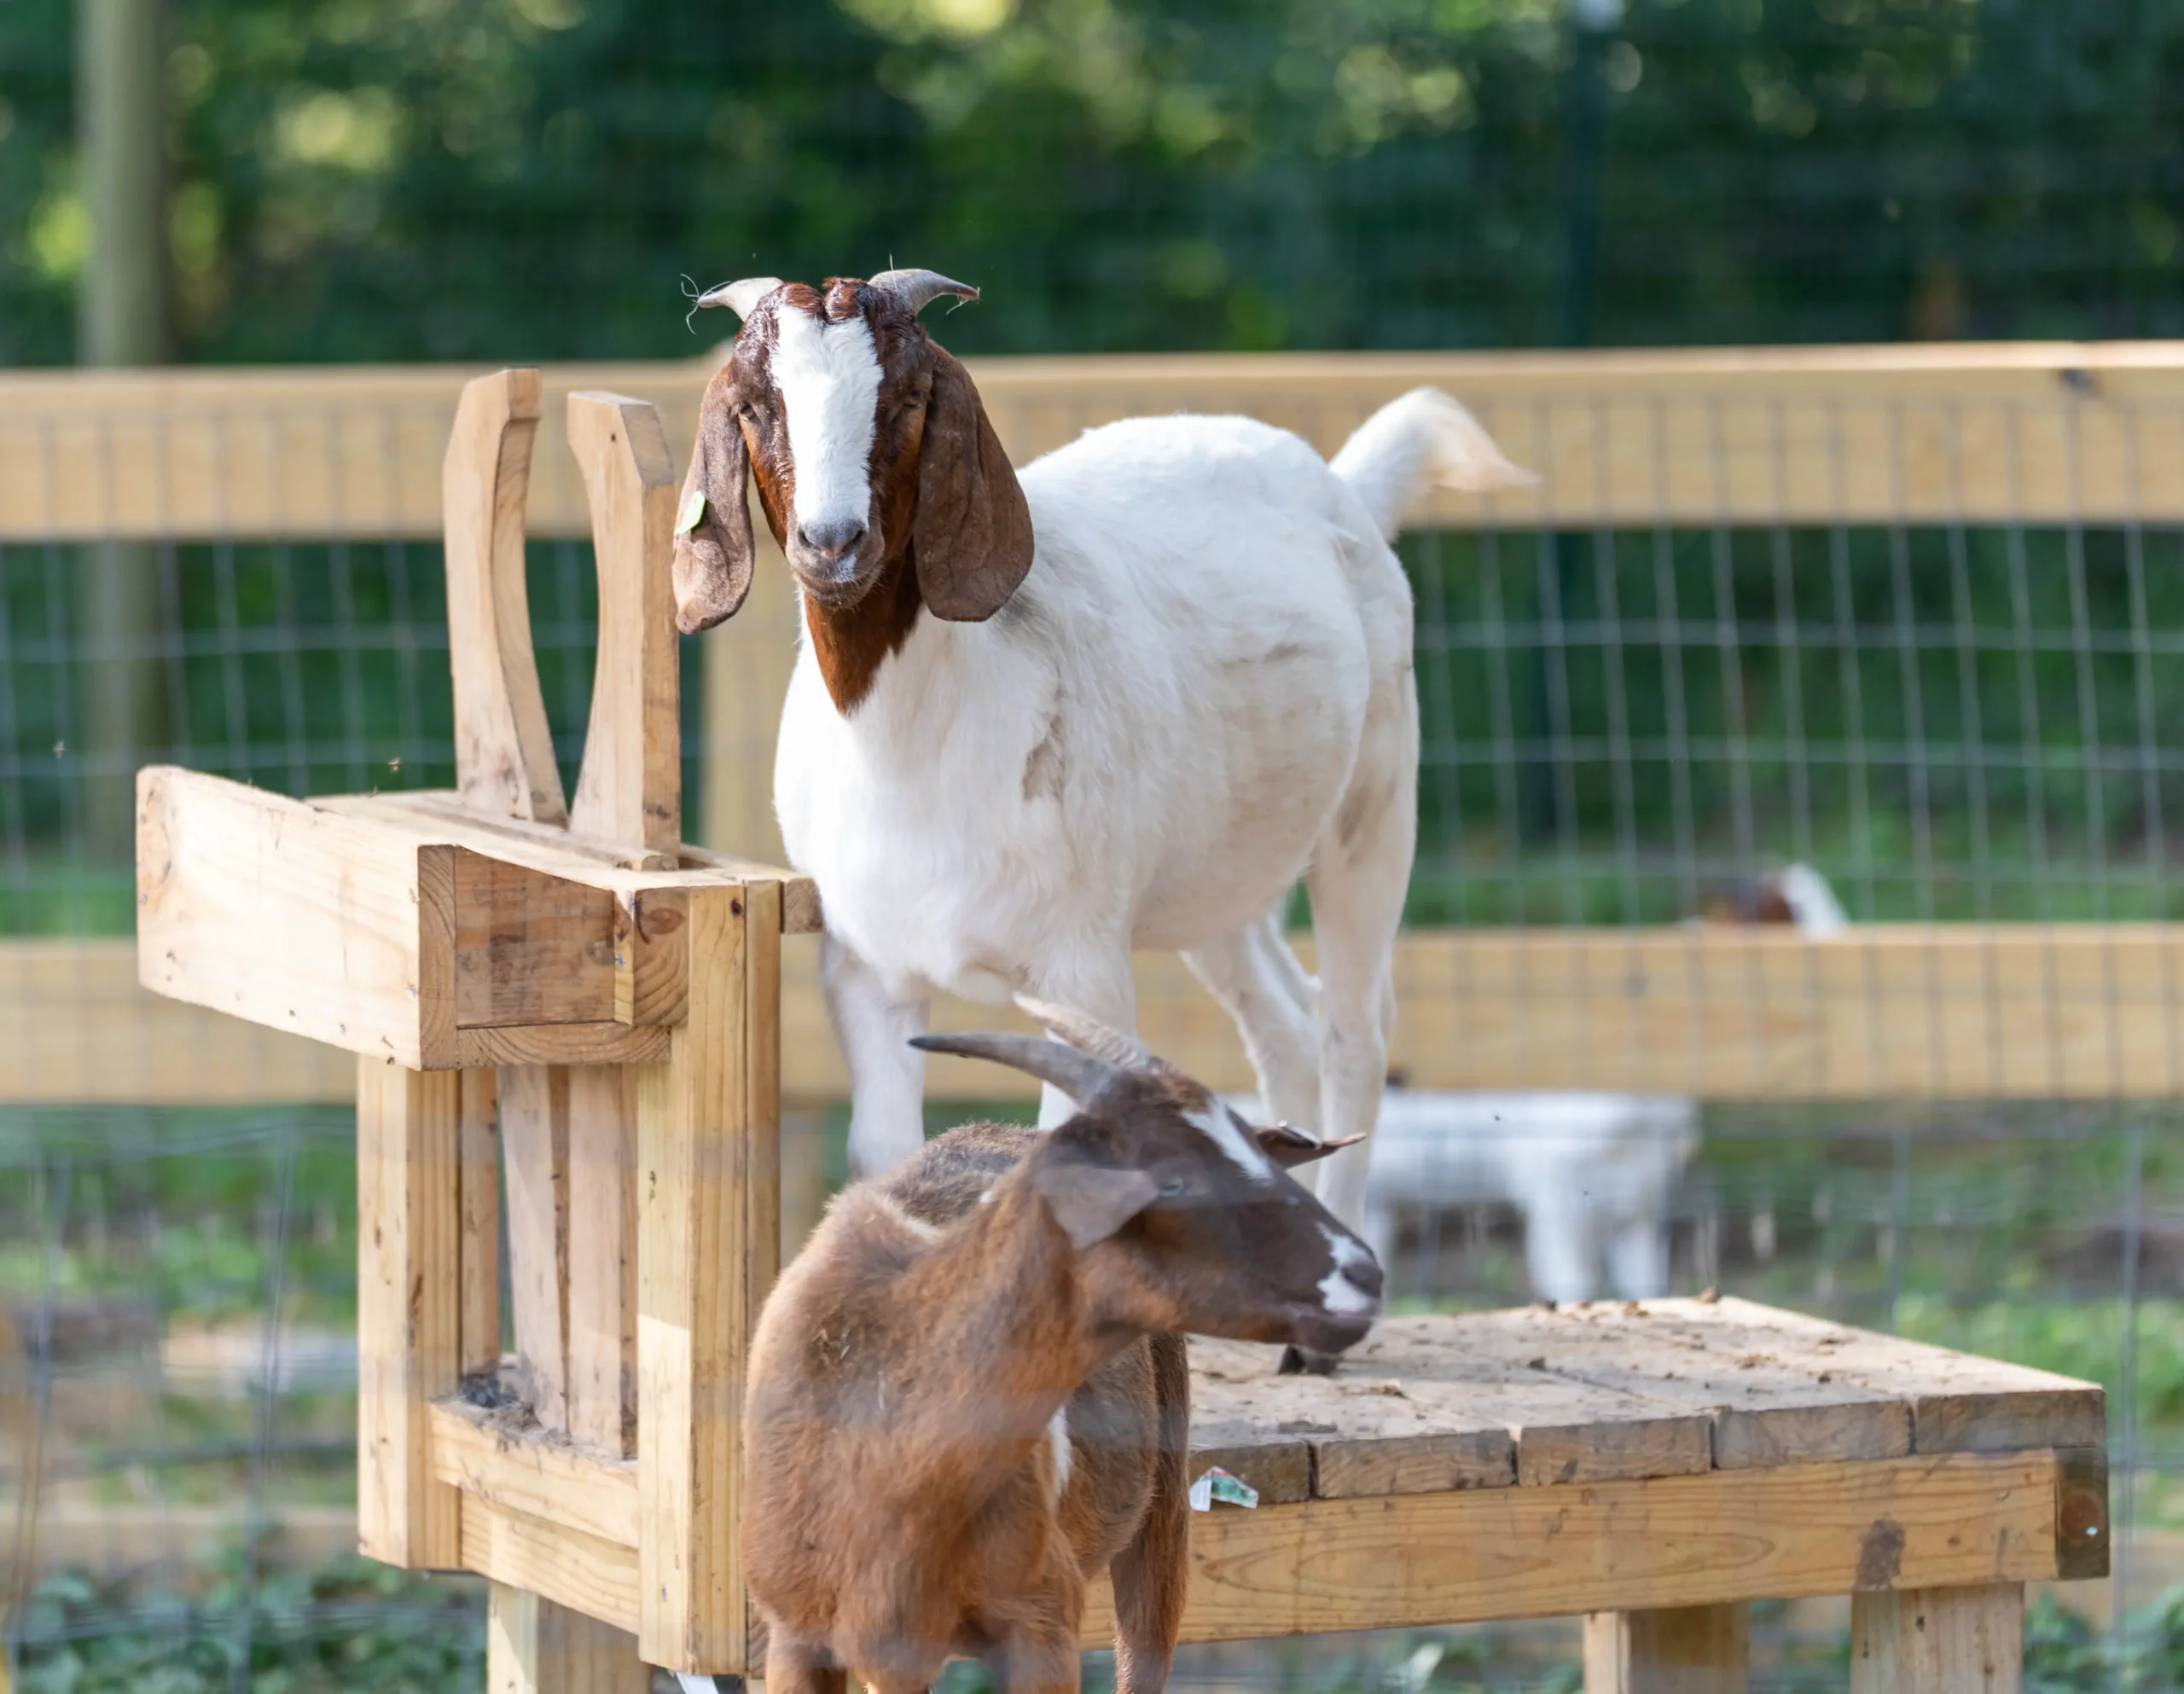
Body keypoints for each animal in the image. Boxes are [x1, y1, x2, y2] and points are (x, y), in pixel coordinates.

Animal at [671, 270, 1533, 1369]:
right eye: (755, 408)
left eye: (906, 404)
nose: (832, 543)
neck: (915, 739)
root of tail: (1336, 480)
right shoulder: (864, 969)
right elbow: (883, 1153)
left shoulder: (1079, 963)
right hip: (1216, 879)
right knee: (1283, 1025)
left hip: (1374, 806)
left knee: (1354, 1029)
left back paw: (1320, 1338)